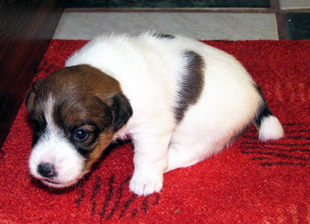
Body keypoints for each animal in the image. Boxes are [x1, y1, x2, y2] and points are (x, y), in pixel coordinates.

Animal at [25, 32, 284, 196]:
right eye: (37, 126)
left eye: (81, 134)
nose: (44, 169)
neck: (111, 73)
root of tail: (254, 89)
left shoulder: (152, 129)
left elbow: (146, 156)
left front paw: (145, 179)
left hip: (205, 133)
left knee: (186, 153)